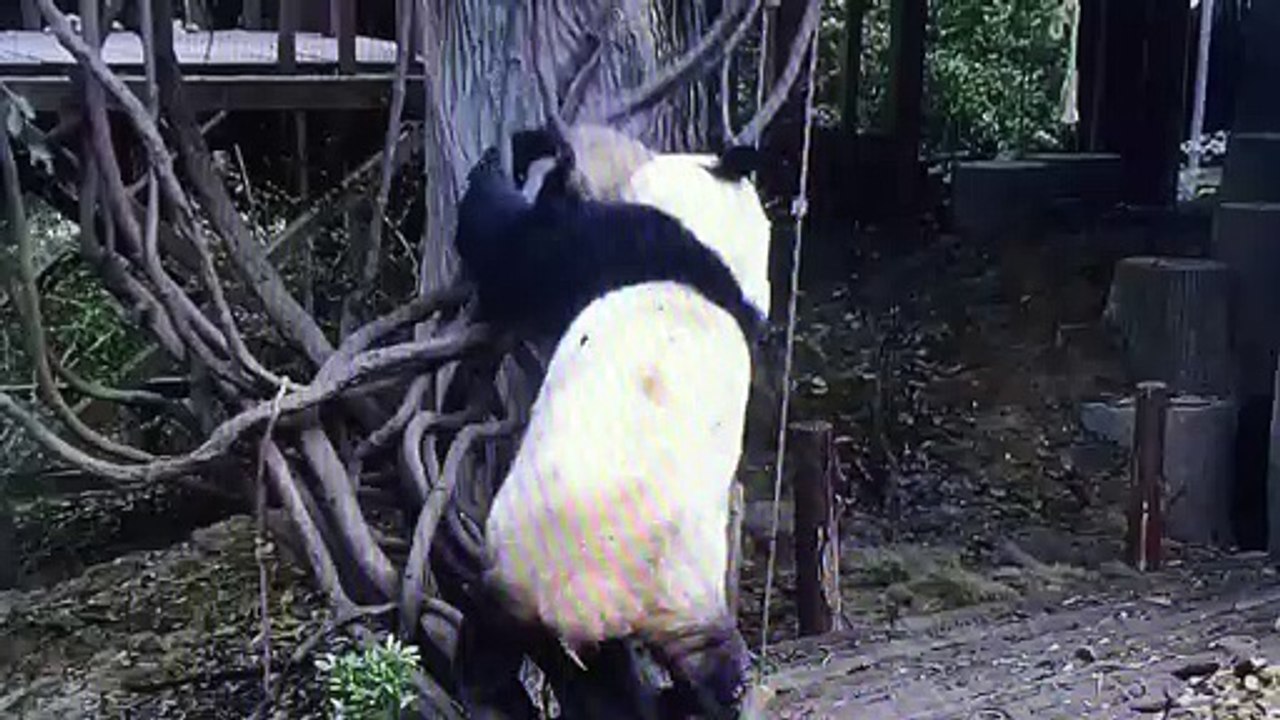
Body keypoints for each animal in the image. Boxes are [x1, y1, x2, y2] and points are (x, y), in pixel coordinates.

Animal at [457, 128, 774, 718]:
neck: (723, 265)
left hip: (524, 560)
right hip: (686, 603)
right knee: (703, 675)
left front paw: (507, 160)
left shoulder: (617, 247)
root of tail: (597, 604)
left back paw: (488, 691)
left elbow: (509, 249)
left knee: (491, 628)